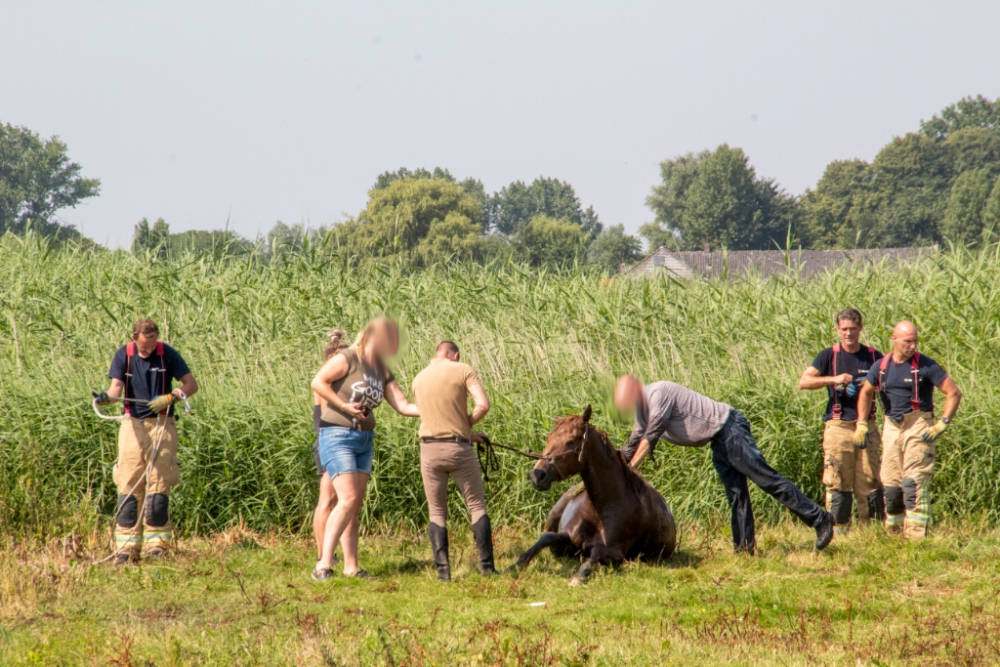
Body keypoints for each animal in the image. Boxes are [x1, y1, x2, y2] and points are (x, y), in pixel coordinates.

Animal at [512, 408, 676, 584]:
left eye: (570, 441)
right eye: (549, 438)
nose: (537, 475)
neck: (601, 508)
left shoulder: (617, 552)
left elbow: (596, 552)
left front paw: (578, 577)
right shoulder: (567, 538)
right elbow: (546, 538)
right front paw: (514, 566)